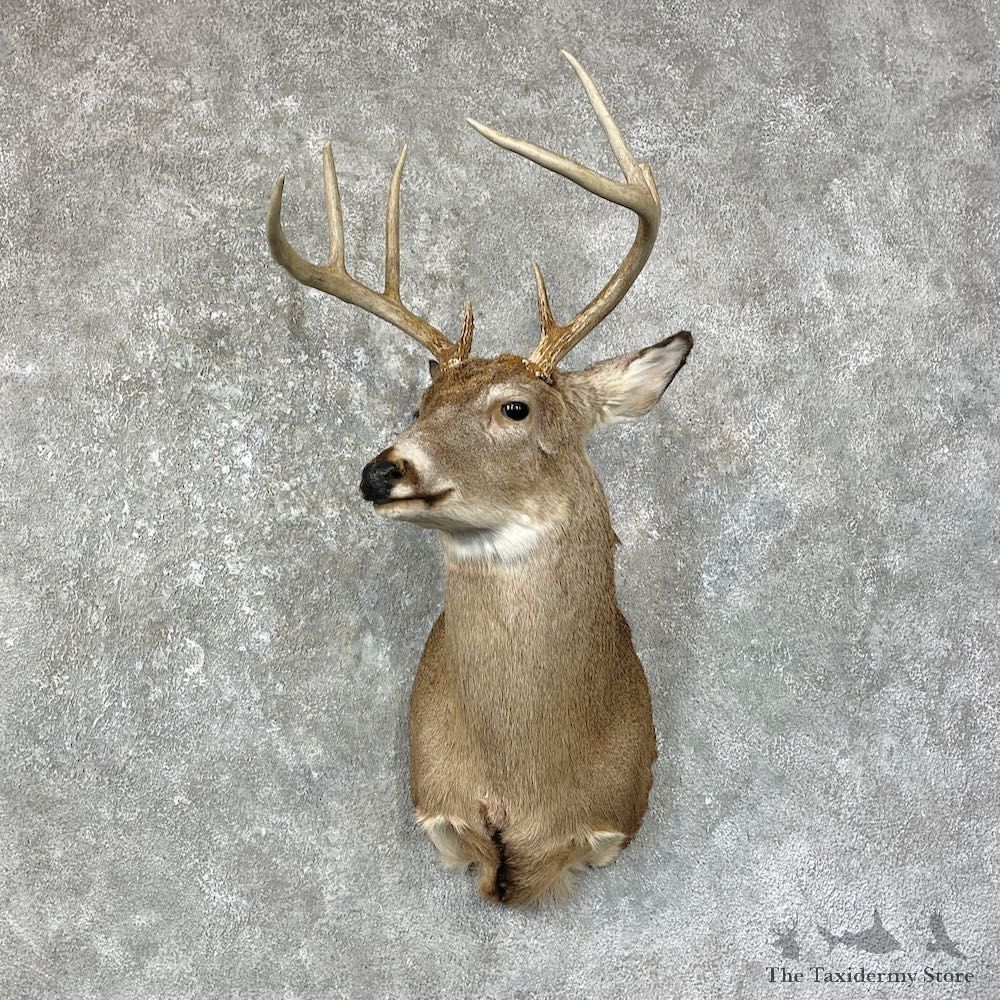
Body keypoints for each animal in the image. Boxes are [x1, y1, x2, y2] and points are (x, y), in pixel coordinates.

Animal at [266, 50, 693, 906]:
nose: (382, 470)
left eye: (515, 407)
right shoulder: (434, 801)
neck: (524, 781)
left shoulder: (613, 818)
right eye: (420, 403)